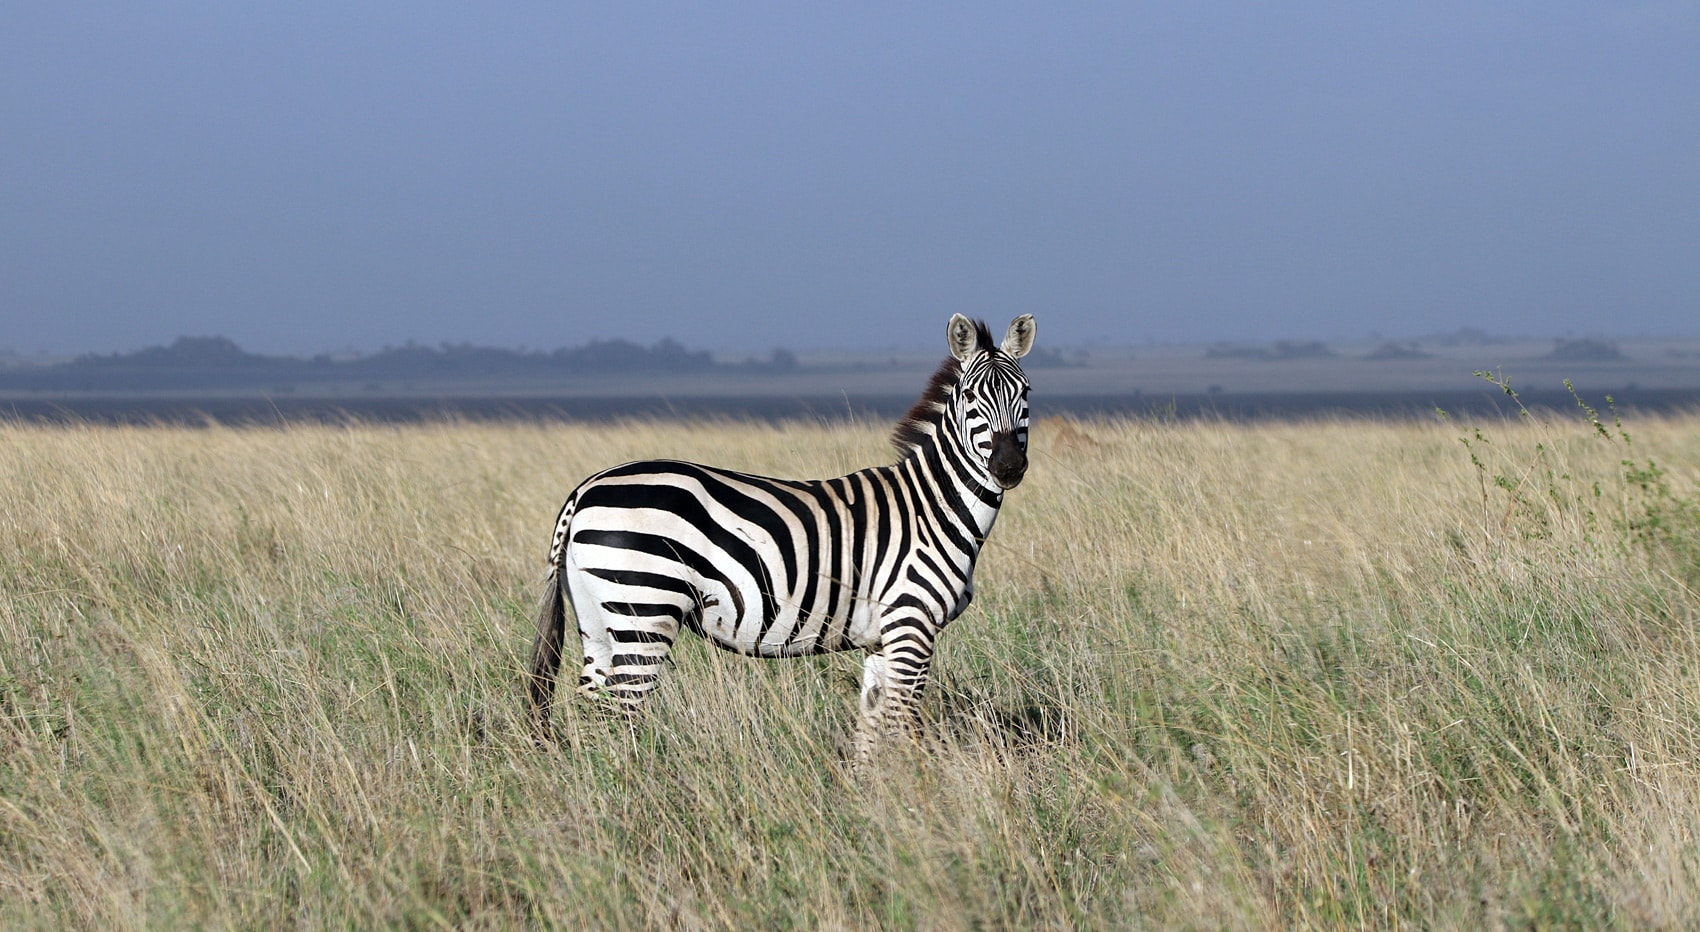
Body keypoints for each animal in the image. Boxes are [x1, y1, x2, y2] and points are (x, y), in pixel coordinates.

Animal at [527, 314, 1036, 762]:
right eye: (969, 396)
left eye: (1025, 392)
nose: (1009, 467)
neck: (933, 506)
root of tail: (584, 489)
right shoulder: (912, 625)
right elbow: (900, 724)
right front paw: (913, 790)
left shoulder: (881, 639)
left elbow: (870, 729)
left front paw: (869, 794)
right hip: (645, 608)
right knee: (621, 714)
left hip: (597, 617)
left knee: (594, 712)